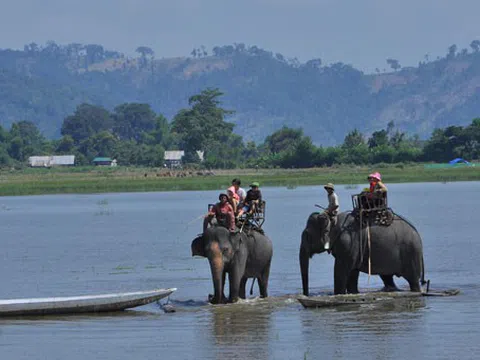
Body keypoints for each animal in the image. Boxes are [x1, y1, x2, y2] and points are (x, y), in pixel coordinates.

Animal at [298, 211, 426, 296]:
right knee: (387, 277)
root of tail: (418, 235)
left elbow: (340, 270)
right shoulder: (352, 250)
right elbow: (352, 272)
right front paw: (353, 293)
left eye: (307, 235)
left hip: (411, 254)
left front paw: (338, 295)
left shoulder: (348, 244)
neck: (333, 219)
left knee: (413, 280)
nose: (305, 295)